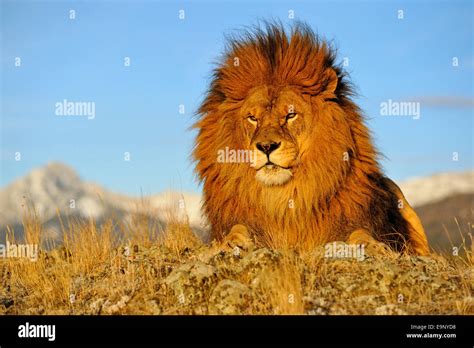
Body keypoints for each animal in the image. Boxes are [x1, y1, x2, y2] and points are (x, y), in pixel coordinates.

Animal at [192, 22, 430, 256]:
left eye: (290, 115)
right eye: (252, 118)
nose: (266, 146)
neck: (282, 198)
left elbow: (359, 232)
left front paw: (372, 246)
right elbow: (236, 228)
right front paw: (229, 242)